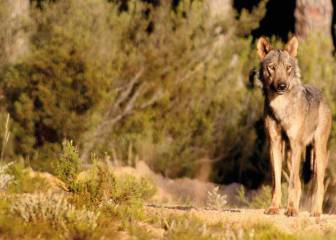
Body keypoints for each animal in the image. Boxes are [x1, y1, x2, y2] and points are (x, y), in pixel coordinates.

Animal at [258, 36, 330, 218]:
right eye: (272, 67)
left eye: (288, 68)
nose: (282, 86)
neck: (281, 108)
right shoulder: (274, 144)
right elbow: (276, 183)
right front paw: (274, 208)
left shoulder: (296, 144)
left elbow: (291, 183)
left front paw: (291, 209)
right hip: (291, 155)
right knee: (299, 182)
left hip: (318, 152)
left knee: (318, 185)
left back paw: (316, 212)